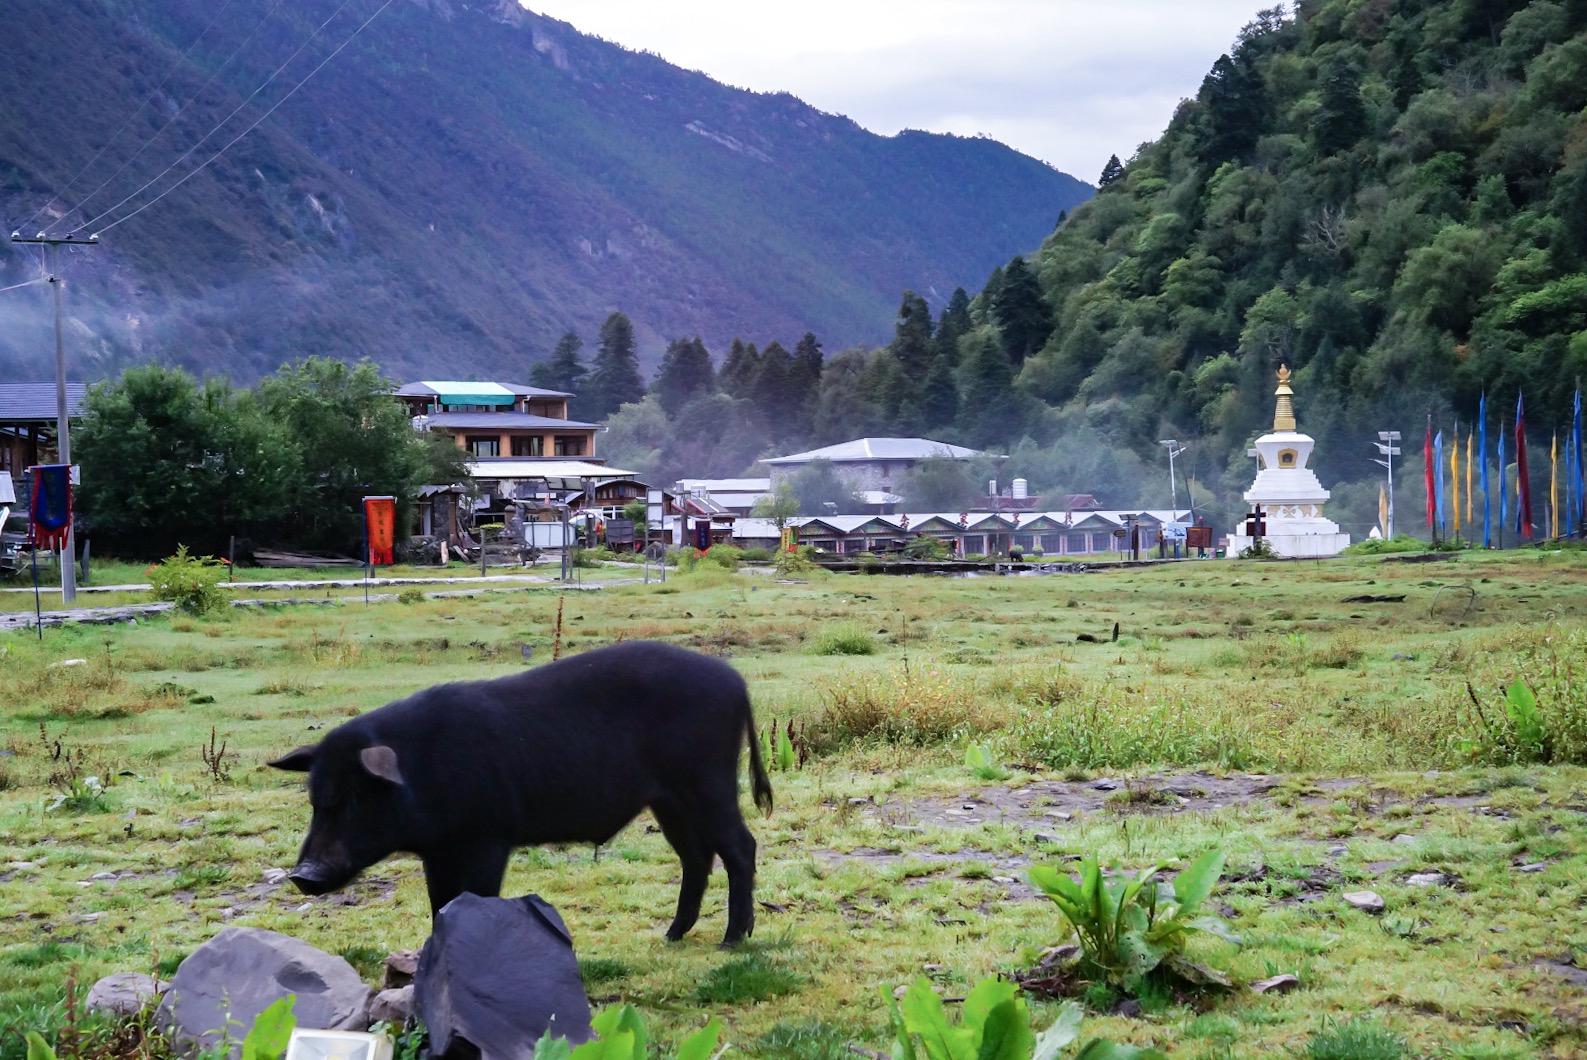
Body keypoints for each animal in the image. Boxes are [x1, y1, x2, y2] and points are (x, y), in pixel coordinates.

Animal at [274, 637, 774, 945]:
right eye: (315, 800)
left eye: (357, 797)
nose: (304, 875)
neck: (424, 771)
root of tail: (736, 681)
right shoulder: (439, 851)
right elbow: (440, 904)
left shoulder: (488, 837)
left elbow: (476, 898)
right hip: (668, 801)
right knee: (696, 856)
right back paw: (671, 936)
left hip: (708, 781)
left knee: (740, 846)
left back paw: (733, 940)